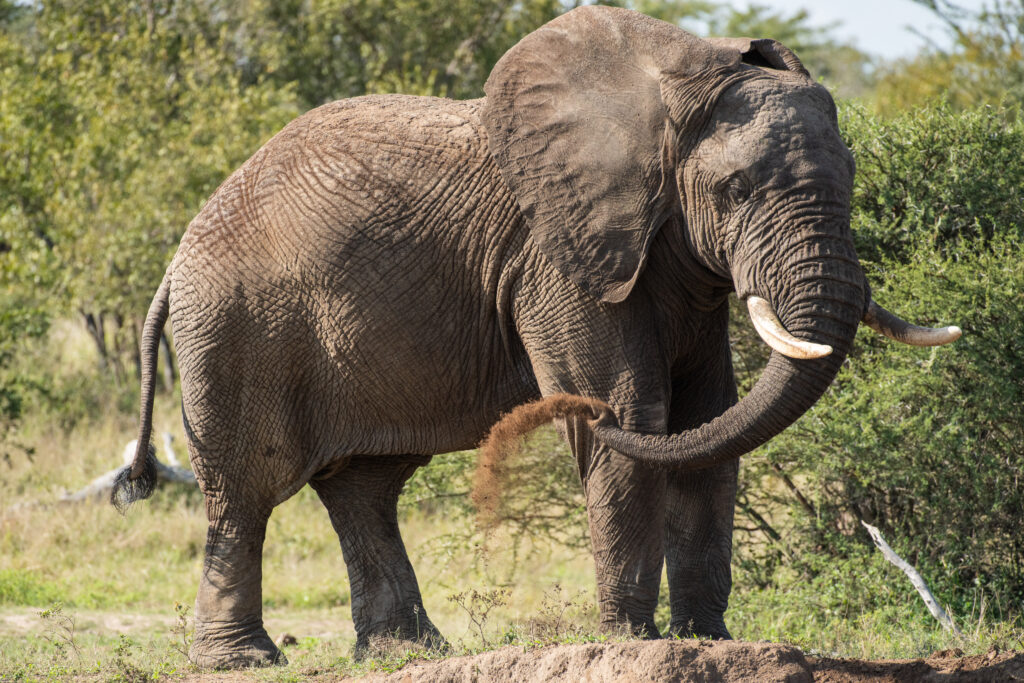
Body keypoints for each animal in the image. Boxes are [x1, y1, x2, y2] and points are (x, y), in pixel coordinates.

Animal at [112, 3, 958, 667]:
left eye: (852, 173)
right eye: (735, 189)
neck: (674, 85)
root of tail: (178, 257)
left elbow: (707, 418)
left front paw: (709, 641)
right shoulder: (558, 257)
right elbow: (639, 410)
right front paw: (635, 640)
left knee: (365, 485)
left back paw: (407, 651)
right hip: (236, 328)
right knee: (246, 490)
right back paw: (245, 659)